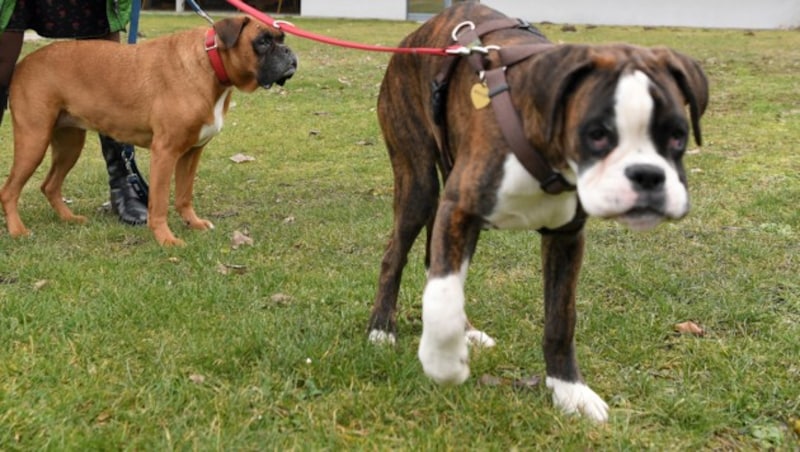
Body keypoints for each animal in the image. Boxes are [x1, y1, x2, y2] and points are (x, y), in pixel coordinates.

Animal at [1, 15, 296, 245]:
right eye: (263, 42)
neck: (211, 64)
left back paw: (69, 218)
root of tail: (24, 63)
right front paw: (166, 238)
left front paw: (193, 223)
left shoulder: (191, 153)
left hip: (69, 145)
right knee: (10, 190)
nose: (289, 53)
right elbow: (160, 201)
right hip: (33, 141)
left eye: (281, 38)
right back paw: (18, 231)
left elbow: (184, 195)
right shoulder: (165, 153)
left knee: (50, 185)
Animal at [366, 1, 708, 422]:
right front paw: (443, 363)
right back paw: (382, 328)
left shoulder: (566, 239)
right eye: (597, 135)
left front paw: (569, 389)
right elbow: (443, 298)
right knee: (395, 255)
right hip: (419, 186)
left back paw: (468, 331)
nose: (647, 175)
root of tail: (412, 39)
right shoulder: (458, 209)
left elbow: (561, 320)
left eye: (677, 136)